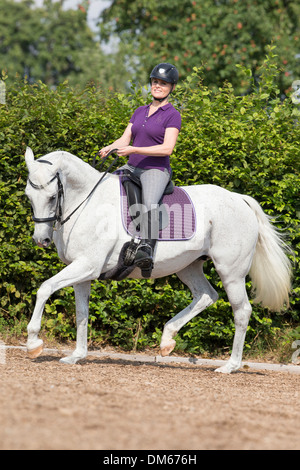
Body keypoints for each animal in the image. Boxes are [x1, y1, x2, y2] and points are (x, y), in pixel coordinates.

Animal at [24, 147, 292, 370]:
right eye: (28, 195)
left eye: (51, 197)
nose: (41, 240)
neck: (87, 203)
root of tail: (240, 199)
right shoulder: (82, 272)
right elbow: (82, 313)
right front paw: (76, 355)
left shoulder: (87, 266)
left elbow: (44, 288)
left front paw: (34, 342)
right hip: (189, 266)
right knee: (206, 295)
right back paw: (167, 340)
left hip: (231, 273)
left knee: (242, 311)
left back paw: (230, 366)